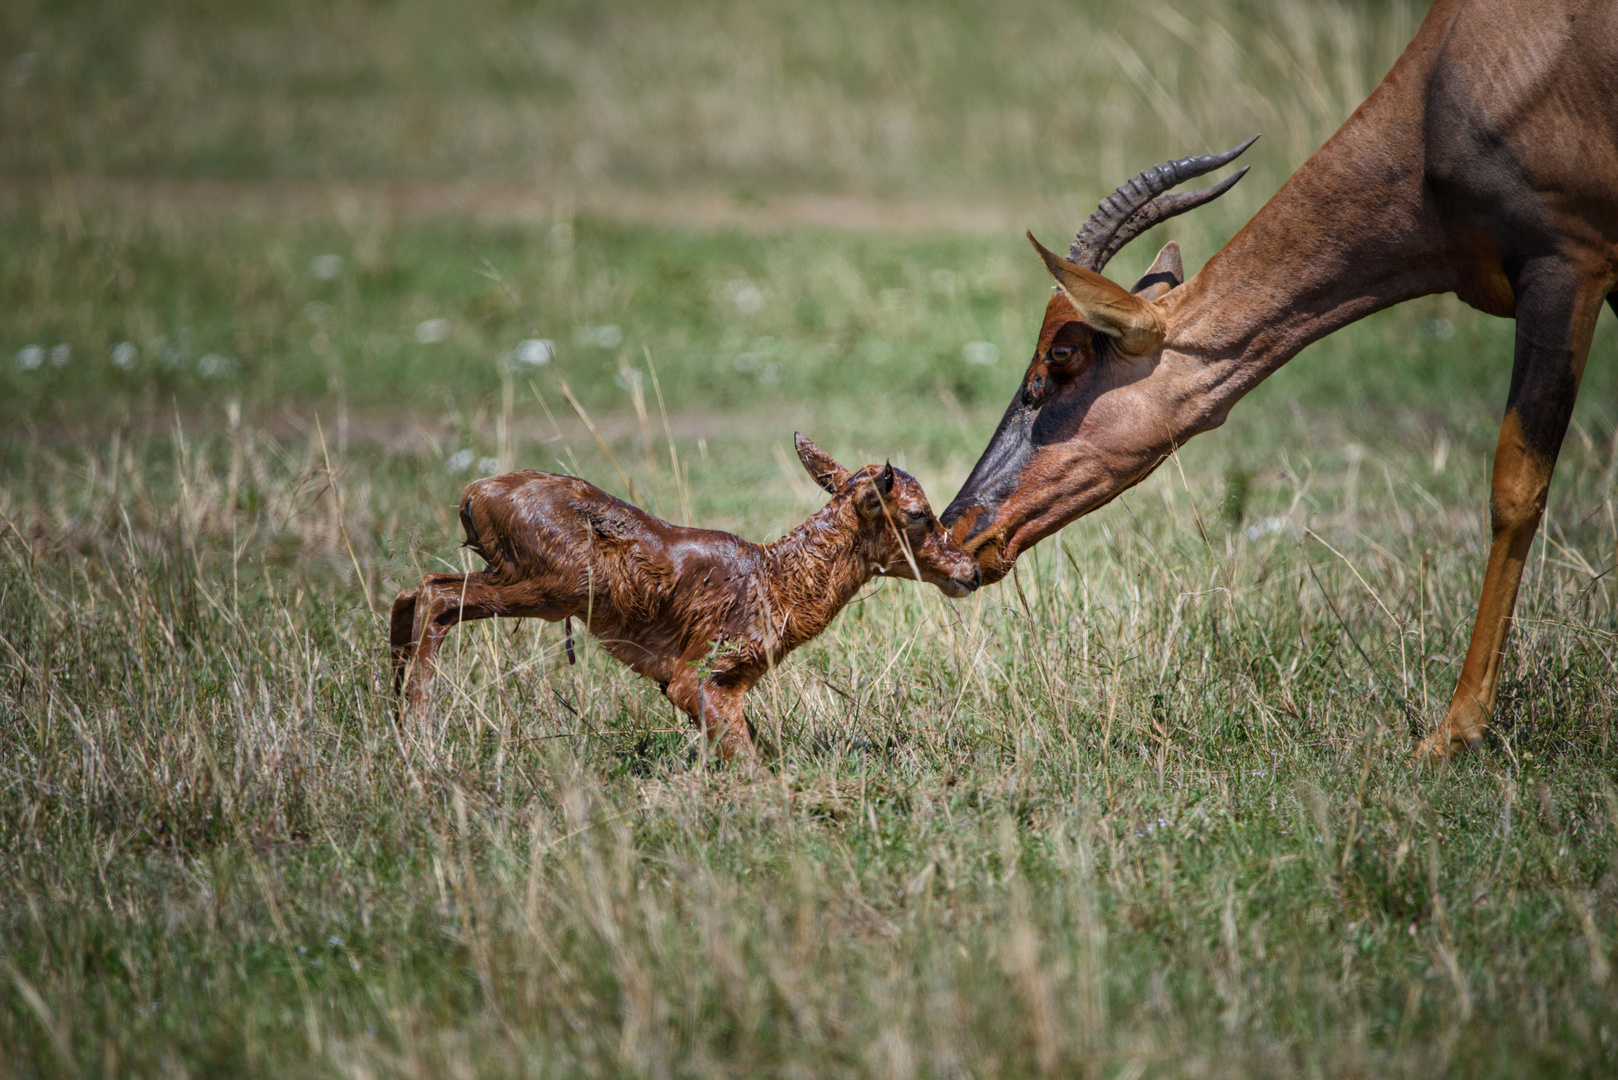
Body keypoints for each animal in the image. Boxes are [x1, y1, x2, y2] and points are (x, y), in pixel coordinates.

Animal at [388, 433, 983, 764]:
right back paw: (417, 736)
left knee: (415, 589)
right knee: (436, 598)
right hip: (555, 582)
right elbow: (747, 760)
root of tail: (473, 494)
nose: (971, 570)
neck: (774, 582)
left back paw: (393, 721)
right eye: (918, 513)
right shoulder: (700, 670)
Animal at [944, 0, 1611, 761]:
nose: (956, 530)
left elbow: (1516, 489)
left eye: (1060, 357)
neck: (1452, 71)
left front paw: (1449, 736)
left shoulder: (1565, 267)